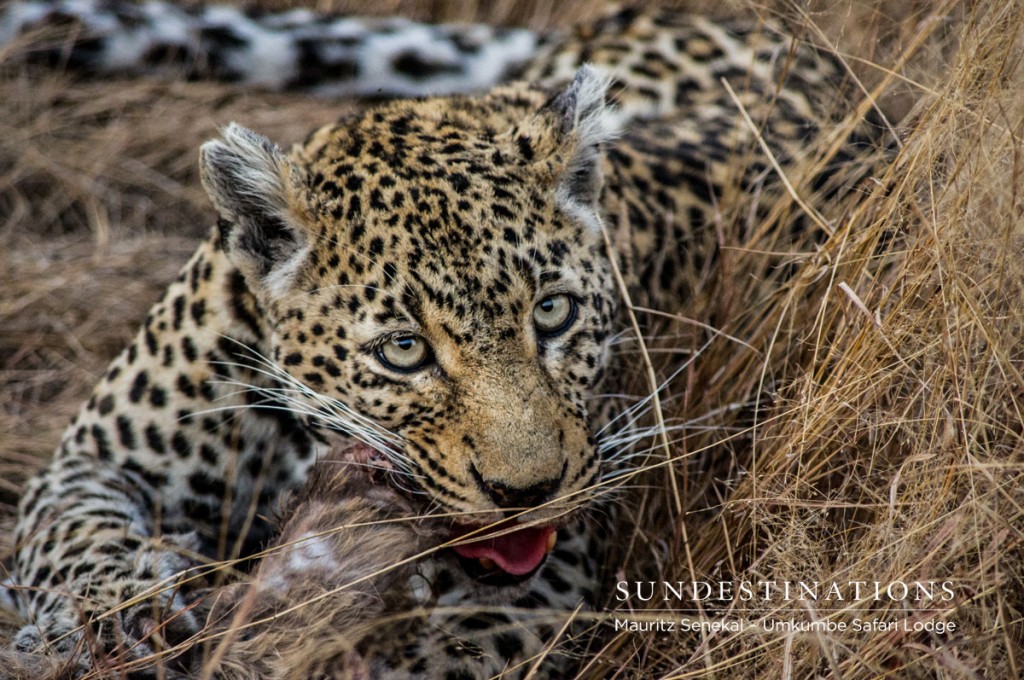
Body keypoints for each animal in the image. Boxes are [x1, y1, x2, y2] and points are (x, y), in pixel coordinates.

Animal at [0, 2, 880, 675]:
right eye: (404, 351)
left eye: (552, 314)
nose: (526, 494)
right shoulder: (96, 457)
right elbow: (75, 540)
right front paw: (120, 614)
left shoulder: (557, 563)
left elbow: (460, 648)